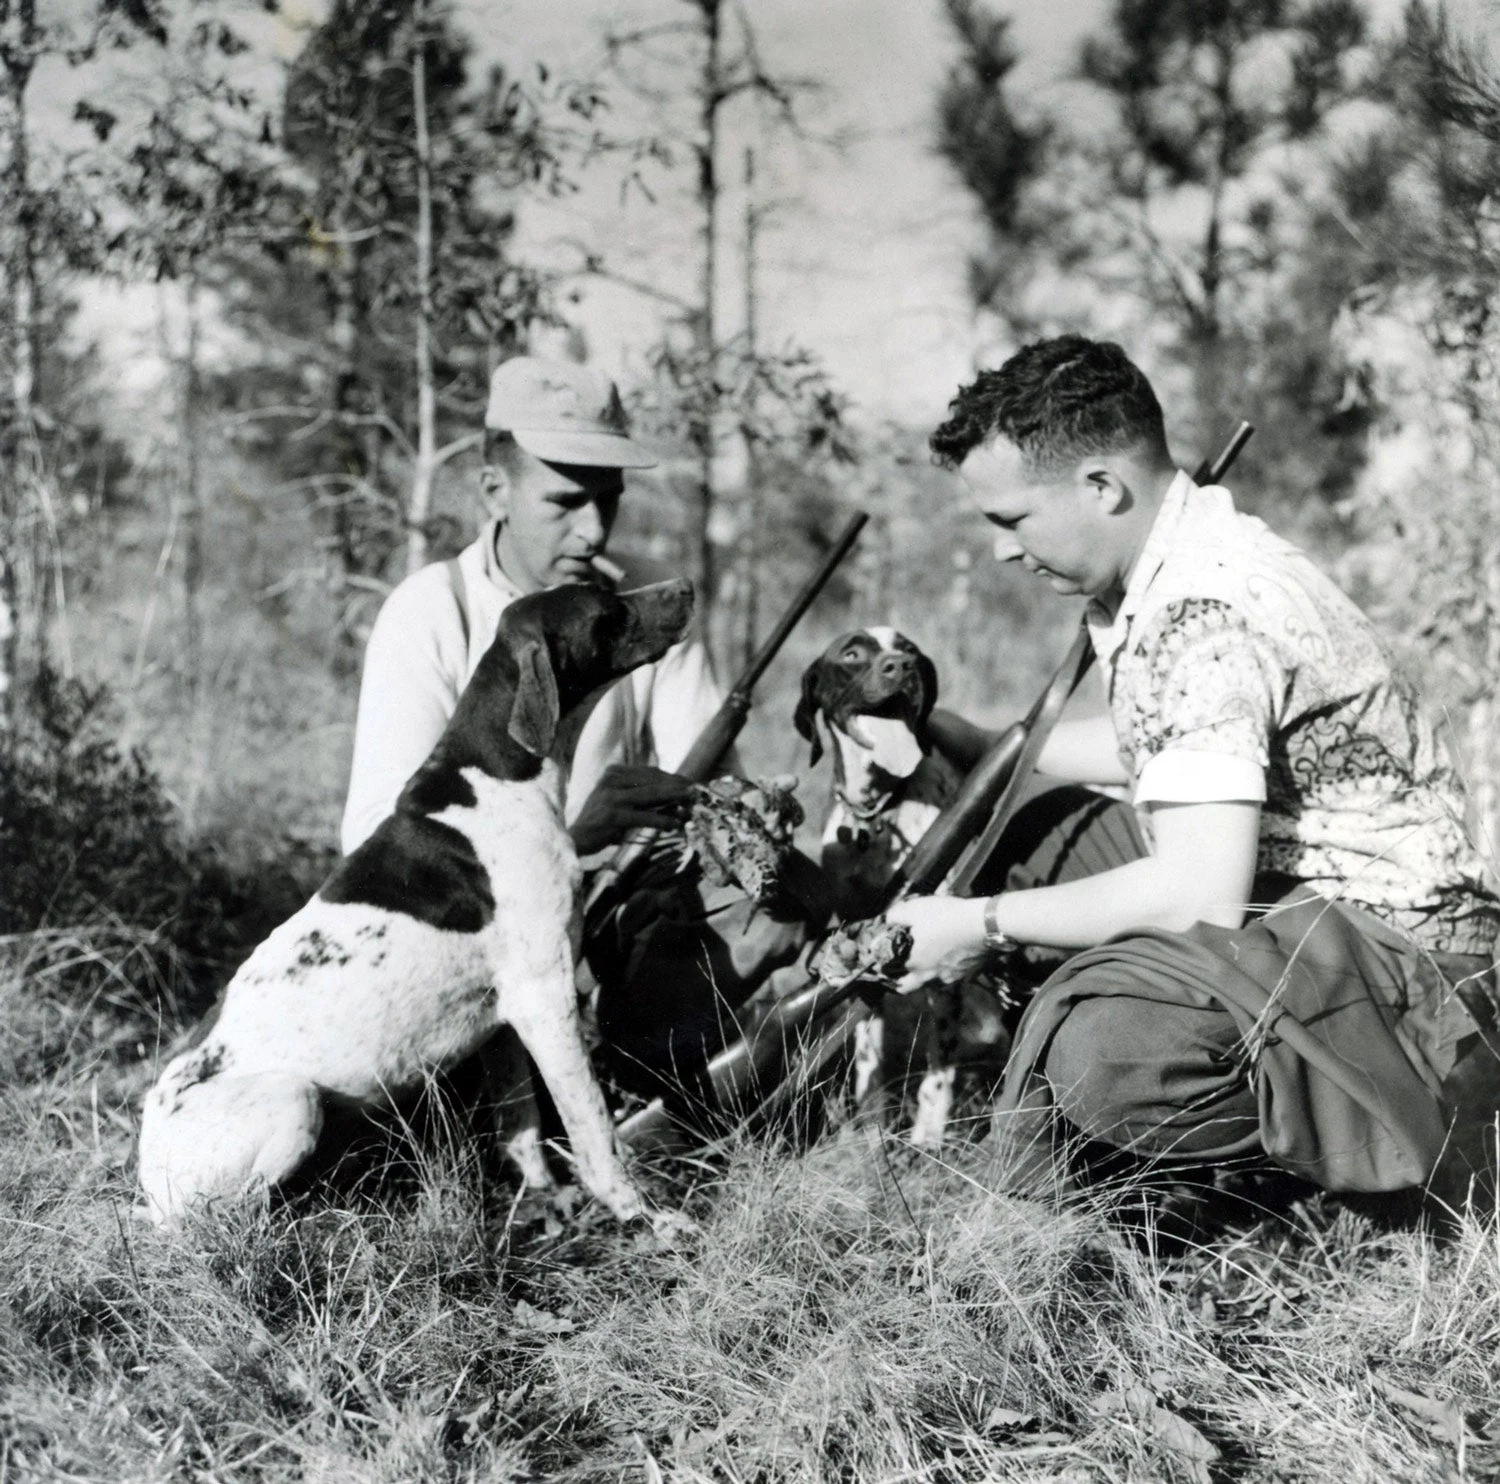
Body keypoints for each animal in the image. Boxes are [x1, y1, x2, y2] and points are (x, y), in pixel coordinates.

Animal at [141, 573, 696, 1236]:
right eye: (608, 608)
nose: (687, 586)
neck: (496, 778)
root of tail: (147, 1170)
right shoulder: (545, 998)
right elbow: (593, 1127)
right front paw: (645, 1216)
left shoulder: (503, 1019)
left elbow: (522, 1126)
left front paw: (540, 1200)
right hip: (294, 1101)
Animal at [798, 624, 1008, 1146]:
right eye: (851, 654)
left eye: (909, 649)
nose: (902, 667)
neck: (877, 813)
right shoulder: (857, 942)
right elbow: (866, 1052)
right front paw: (872, 1136)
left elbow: (939, 1067)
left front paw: (927, 1139)